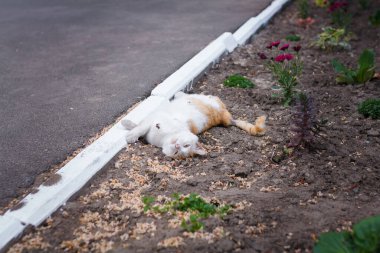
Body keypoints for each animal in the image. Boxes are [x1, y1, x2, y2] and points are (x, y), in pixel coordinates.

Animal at [123, 91, 266, 158]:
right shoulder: (154, 118)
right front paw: (130, 129)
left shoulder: (155, 119)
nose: (177, 145)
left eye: (179, 152)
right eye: (186, 145)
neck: (165, 138)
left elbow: (141, 127)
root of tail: (228, 118)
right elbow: (140, 127)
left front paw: (129, 132)